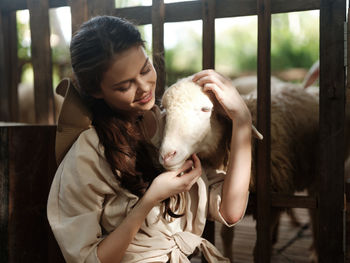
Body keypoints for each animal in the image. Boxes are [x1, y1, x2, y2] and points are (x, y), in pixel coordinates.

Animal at [159, 76, 320, 262]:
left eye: (205, 109)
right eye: (165, 111)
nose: (167, 155)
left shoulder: (271, 205)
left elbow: (258, 249)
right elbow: (226, 235)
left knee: (314, 214)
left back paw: (314, 251)